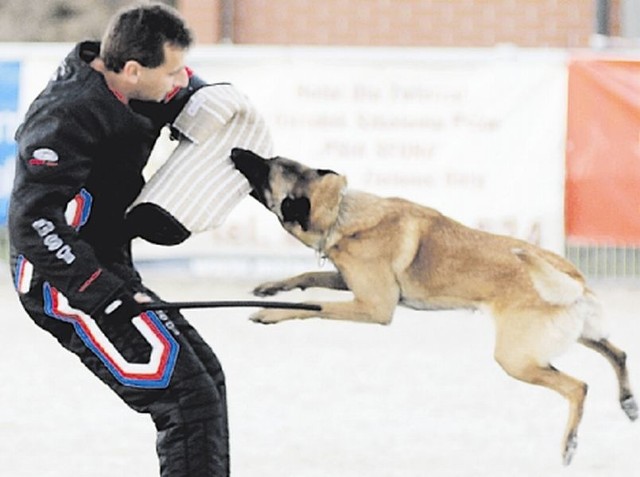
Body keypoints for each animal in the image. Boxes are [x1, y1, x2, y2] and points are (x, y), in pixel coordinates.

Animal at [229, 147, 636, 462]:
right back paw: (628, 401)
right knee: (618, 353)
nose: (236, 151)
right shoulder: (352, 282)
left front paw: (269, 313)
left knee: (578, 386)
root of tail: (572, 276)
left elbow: (312, 304)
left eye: (267, 168)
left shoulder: (374, 307)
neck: (342, 212)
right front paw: (270, 287)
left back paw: (570, 444)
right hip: (571, 336)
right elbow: (307, 276)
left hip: (516, 359)